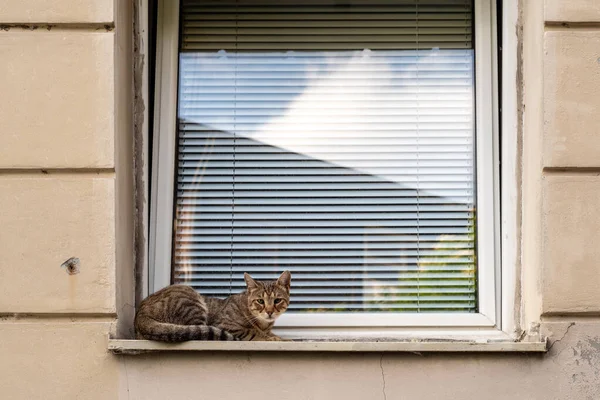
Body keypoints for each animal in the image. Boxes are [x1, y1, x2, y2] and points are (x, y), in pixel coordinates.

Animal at [136, 270, 290, 342]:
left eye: (277, 300)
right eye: (260, 301)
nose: (269, 311)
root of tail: (140, 313)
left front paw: (281, 338)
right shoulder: (225, 324)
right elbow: (253, 331)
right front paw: (271, 338)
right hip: (191, 302)